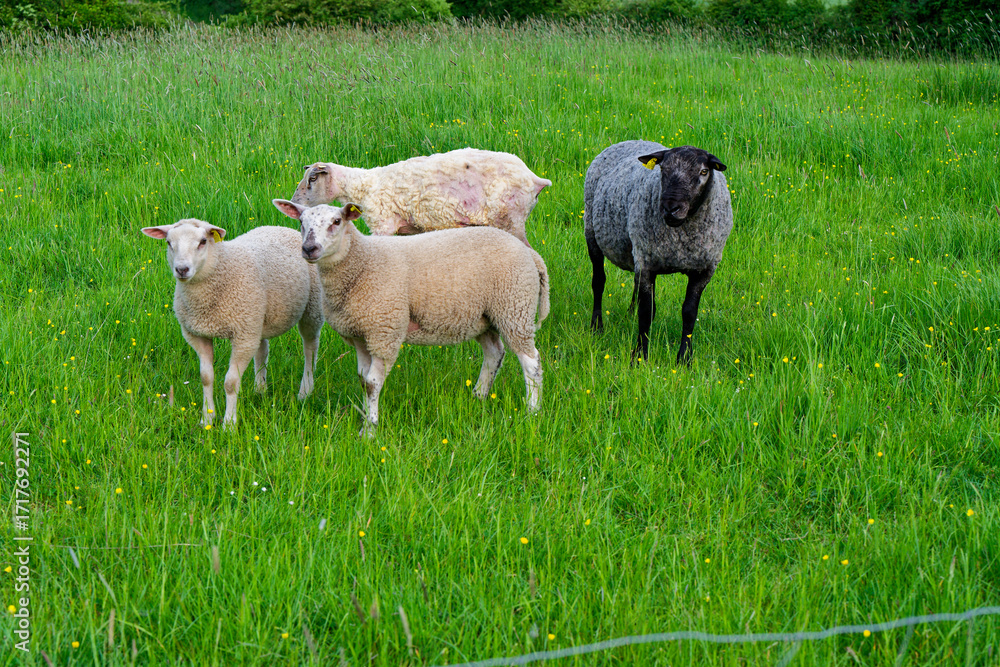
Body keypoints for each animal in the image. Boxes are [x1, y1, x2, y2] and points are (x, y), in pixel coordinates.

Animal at [141, 219, 324, 428]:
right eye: (169, 243)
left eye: (203, 241)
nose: (182, 269)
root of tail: (282, 228)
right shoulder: (197, 334)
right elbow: (206, 378)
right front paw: (207, 419)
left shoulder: (242, 336)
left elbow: (230, 383)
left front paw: (229, 424)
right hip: (256, 319)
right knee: (262, 350)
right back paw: (260, 389)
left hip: (311, 308)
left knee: (310, 348)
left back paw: (305, 391)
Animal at [271, 198, 549, 437]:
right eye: (301, 222)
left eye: (336, 222)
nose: (309, 249)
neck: (361, 262)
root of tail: (531, 254)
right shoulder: (360, 335)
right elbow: (362, 380)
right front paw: (364, 417)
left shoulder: (385, 332)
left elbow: (372, 383)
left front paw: (369, 430)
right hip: (481, 317)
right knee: (494, 353)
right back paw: (479, 396)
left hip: (514, 308)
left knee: (532, 363)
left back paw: (532, 411)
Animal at [290, 148, 551, 246]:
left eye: (312, 179)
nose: (295, 202)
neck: (363, 185)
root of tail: (535, 179)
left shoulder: (382, 225)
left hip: (511, 220)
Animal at [584, 142, 732, 363]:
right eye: (663, 170)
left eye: (704, 171)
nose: (671, 208)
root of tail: (629, 140)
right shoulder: (647, 264)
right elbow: (647, 312)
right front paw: (639, 357)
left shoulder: (703, 269)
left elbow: (689, 312)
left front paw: (684, 358)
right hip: (592, 232)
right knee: (599, 282)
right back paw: (596, 326)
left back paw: (629, 314)